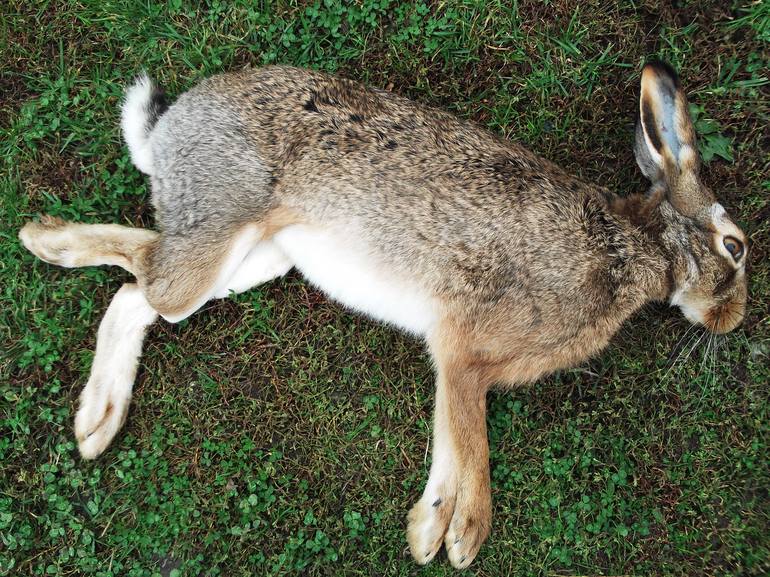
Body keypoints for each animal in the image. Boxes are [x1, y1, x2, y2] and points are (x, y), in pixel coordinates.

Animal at [19, 60, 748, 569]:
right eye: (736, 246)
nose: (735, 321)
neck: (635, 252)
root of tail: (166, 130)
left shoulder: (460, 364)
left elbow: (453, 435)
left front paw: (429, 531)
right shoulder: (461, 344)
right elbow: (472, 442)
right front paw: (460, 537)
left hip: (260, 259)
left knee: (135, 294)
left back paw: (96, 422)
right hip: (220, 228)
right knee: (146, 271)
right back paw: (42, 240)